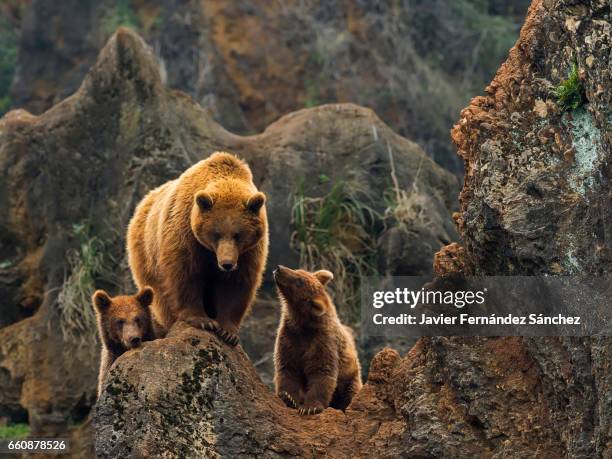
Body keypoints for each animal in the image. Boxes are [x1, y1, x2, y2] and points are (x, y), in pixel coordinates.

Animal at [125, 153, 266, 346]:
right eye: (216, 233)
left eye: (238, 235)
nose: (227, 263)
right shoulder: (185, 233)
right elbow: (186, 274)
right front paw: (203, 320)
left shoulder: (248, 252)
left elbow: (236, 283)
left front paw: (228, 331)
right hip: (146, 254)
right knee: (160, 296)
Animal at [274, 264, 364, 416]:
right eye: (298, 271)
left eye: (299, 281)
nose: (279, 268)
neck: (302, 325)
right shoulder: (289, 337)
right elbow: (287, 368)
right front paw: (289, 398)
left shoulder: (323, 342)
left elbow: (322, 372)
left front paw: (310, 407)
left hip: (350, 378)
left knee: (350, 393)